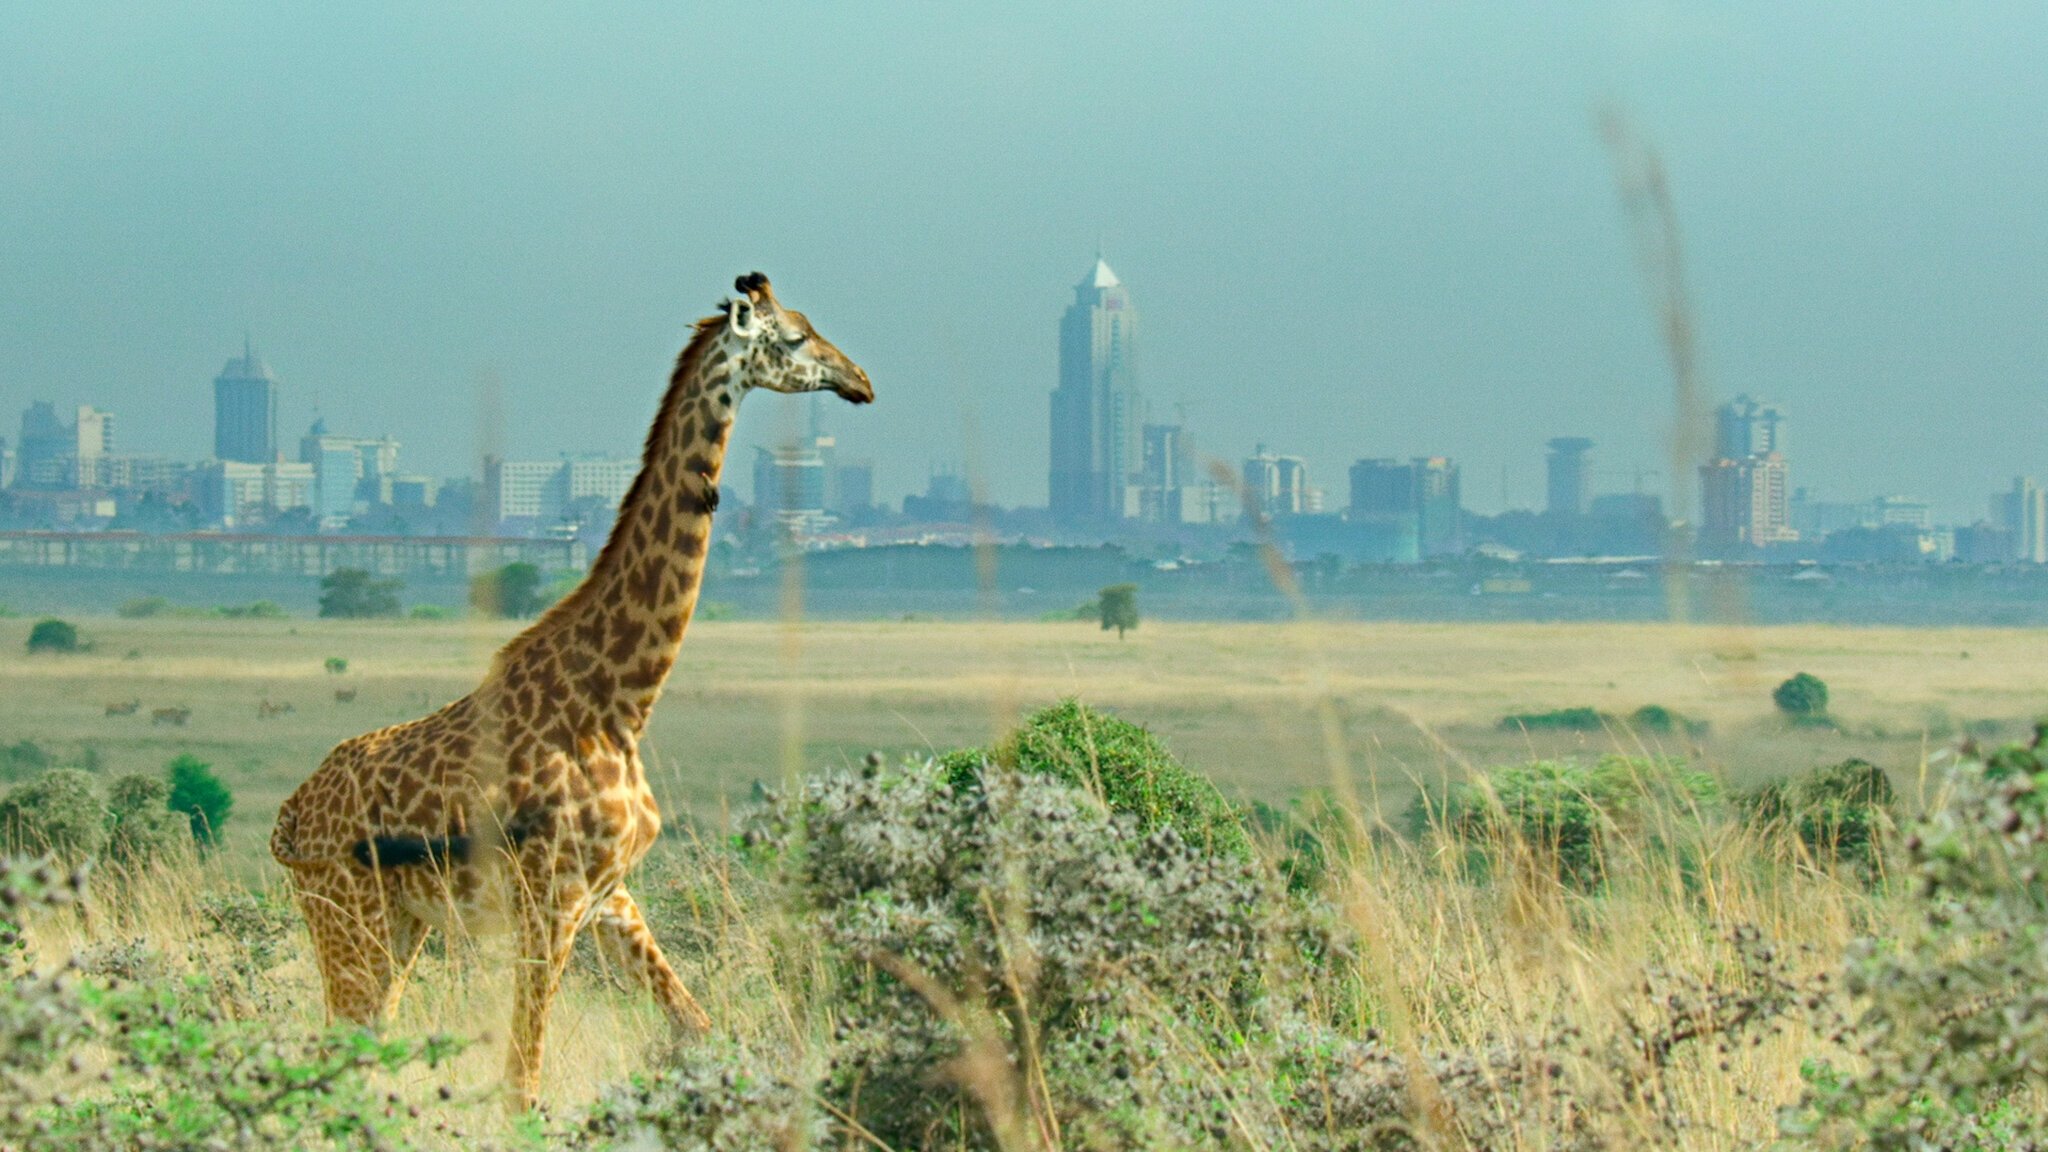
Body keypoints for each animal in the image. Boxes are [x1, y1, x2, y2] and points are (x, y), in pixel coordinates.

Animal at [266, 268, 872, 1106]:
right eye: (794, 337)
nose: (861, 381)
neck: (619, 703)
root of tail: (289, 817)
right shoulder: (549, 899)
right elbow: (522, 1080)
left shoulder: (608, 893)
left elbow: (696, 1025)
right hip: (347, 916)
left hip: (397, 922)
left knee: (359, 1047)